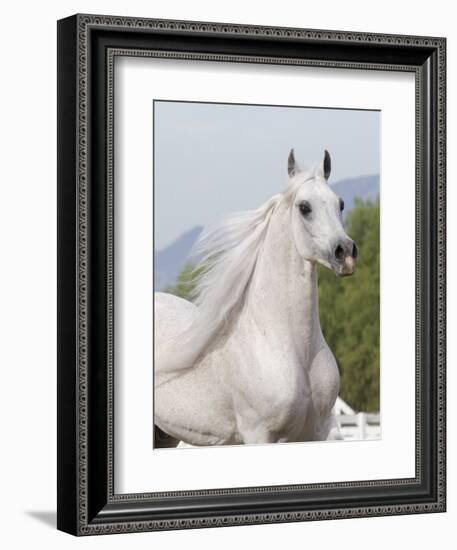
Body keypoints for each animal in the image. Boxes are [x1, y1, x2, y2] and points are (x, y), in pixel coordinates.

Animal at [153, 150, 356, 448]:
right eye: (304, 207)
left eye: (339, 203)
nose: (346, 253)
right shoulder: (259, 433)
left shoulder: (321, 430)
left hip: (164, 433)